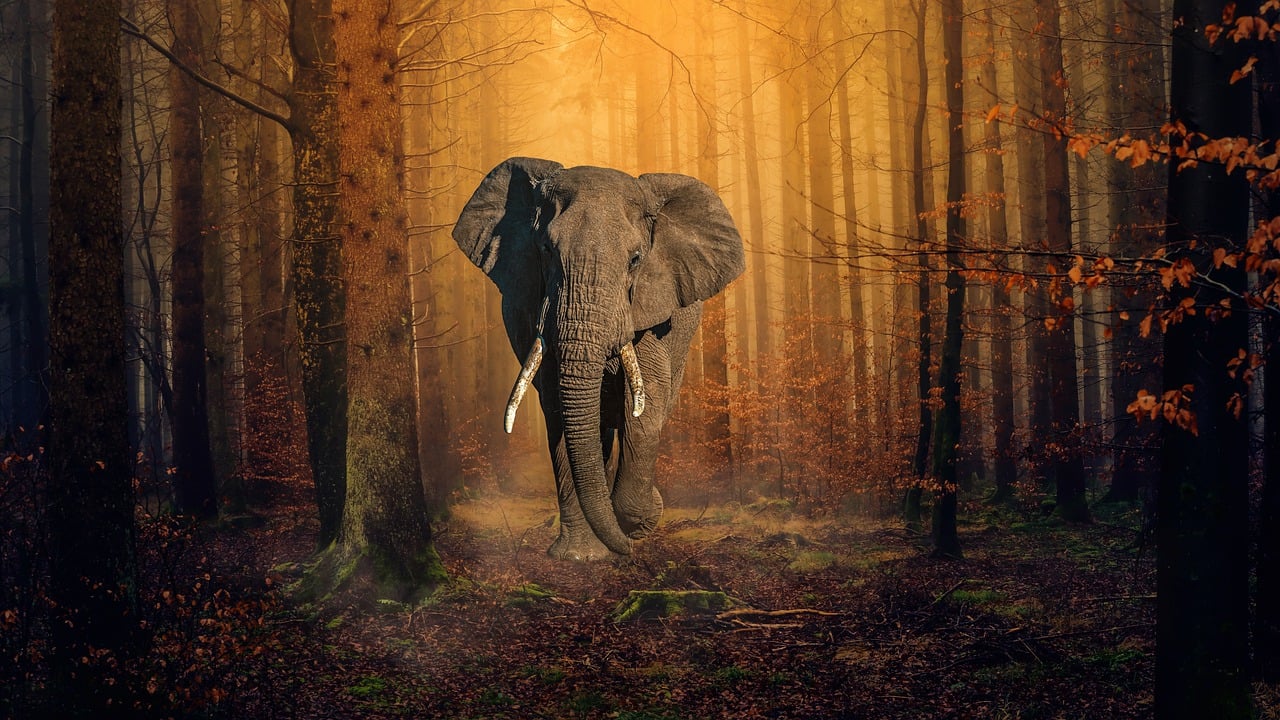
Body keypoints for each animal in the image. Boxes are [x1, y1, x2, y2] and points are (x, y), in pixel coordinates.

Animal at [452, 157, 745, 561]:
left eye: (636, 259)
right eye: (546, 250)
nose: (629, 547)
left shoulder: (649, 309)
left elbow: (646, 405)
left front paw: (638, 521)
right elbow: (559, 409)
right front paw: (579, 556)